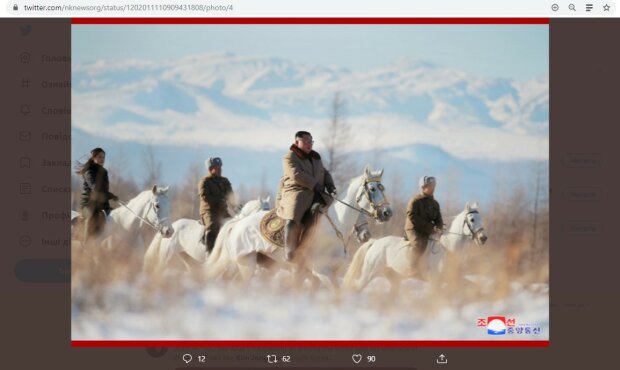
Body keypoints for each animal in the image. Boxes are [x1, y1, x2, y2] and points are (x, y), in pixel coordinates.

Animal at [207, 166, 392, 290]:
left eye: (383, 188)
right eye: (372, 189)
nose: (387, 213)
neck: (335, 227)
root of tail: (238, 223)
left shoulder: (319, 274)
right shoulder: (322, 272)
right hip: (247, 264)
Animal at [342, 202, 486, 292]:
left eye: (481, 219)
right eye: (472, 219)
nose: (483, 238)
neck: (449, 249)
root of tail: (376, 242)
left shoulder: (454, 279)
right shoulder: (436, 281)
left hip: (394, 279)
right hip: (369, 273)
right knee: (357, 287)